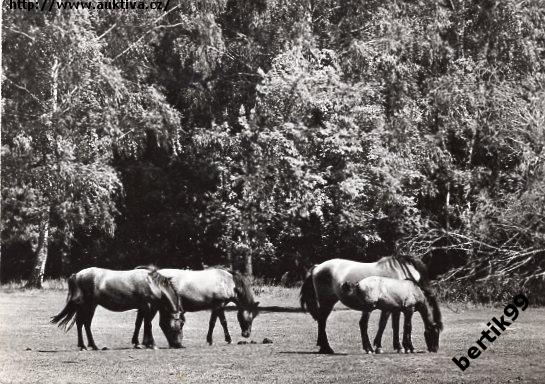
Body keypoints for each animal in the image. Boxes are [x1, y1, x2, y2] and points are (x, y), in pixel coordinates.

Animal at [51, 268, 183, 352]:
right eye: (179, 325)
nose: (179, 345)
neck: (153, 284)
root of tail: (77, 275)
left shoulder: (142, 307)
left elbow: (139, 324)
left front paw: (137, 343)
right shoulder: (149, 306)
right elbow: (148, 324)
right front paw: (152, 344)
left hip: (91, 306)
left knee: (85, 324)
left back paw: (93, 346)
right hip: (86, 305)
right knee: (81, 323)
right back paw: (84, 346)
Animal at [132, 268, 260, 346]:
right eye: (250, 318)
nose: (246, 334)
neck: (226, 282)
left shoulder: (215, 307)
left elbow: (212, 323)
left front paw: (209, 340)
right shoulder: (219, 305)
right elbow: (222, 322)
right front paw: (228, 339)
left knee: (142, 321)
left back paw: (139, 342)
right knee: (148, 322)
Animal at [300, 255, 428, 354]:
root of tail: (317, 267)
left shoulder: (392, 307)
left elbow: (388, 325)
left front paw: (384, 347)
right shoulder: (393, 307)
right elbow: (391, 325)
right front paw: (396, 347)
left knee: (322, 321)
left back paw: (323, 347)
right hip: (326, 302)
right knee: (322, 322)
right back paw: (327, 348)